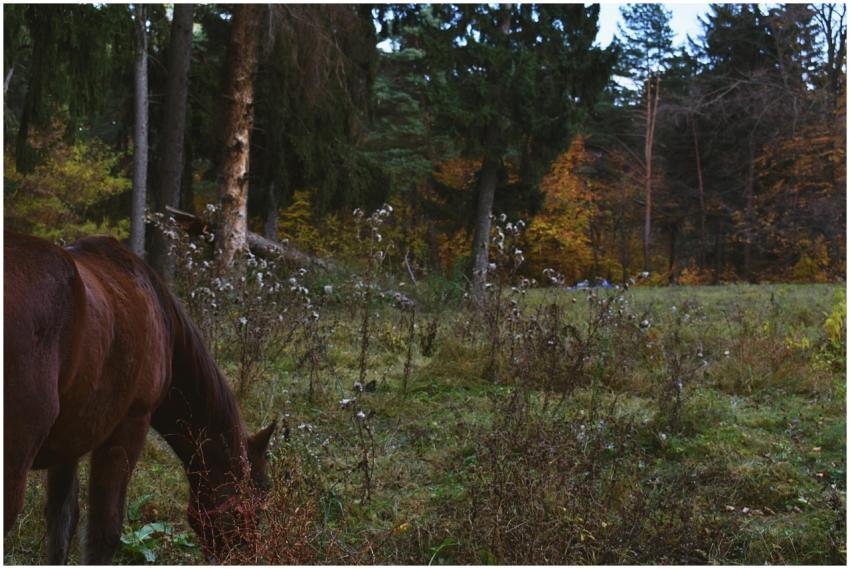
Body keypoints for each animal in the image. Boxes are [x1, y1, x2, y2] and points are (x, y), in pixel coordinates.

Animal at [4, 231, 275, 564]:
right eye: (257, 501)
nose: (247, 554)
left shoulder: (69, 443)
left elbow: (61, 525)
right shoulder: (129, 427)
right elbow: (104, 534)